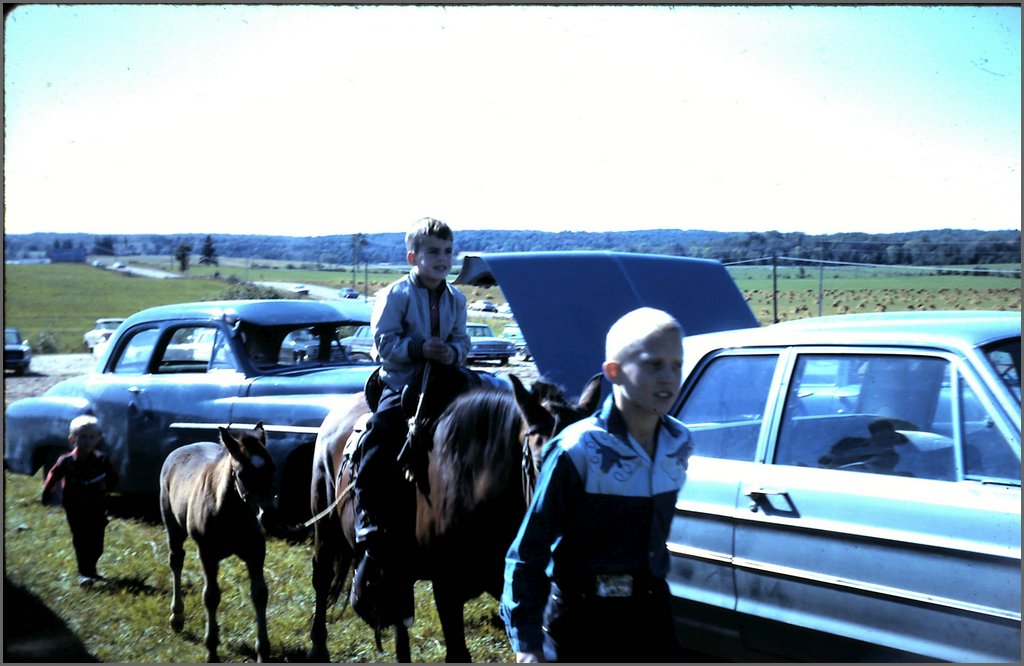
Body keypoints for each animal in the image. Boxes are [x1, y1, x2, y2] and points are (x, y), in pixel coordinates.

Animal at [157, 422, 276, 659]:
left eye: (272, 469)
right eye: (241, 474)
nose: (268, 516)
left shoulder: (256, 552)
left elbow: (260, 594)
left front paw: (263, 652)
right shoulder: (207, 553)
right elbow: (211, 596)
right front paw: (211, 650)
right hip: (174, 529)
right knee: (176, 562)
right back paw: (177, 618)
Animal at [307, 372, 602, 659]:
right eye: (543, 462)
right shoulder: (447, 586)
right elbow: (457, 652)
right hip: (325, 523)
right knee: (322, 577)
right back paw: (318, 648)